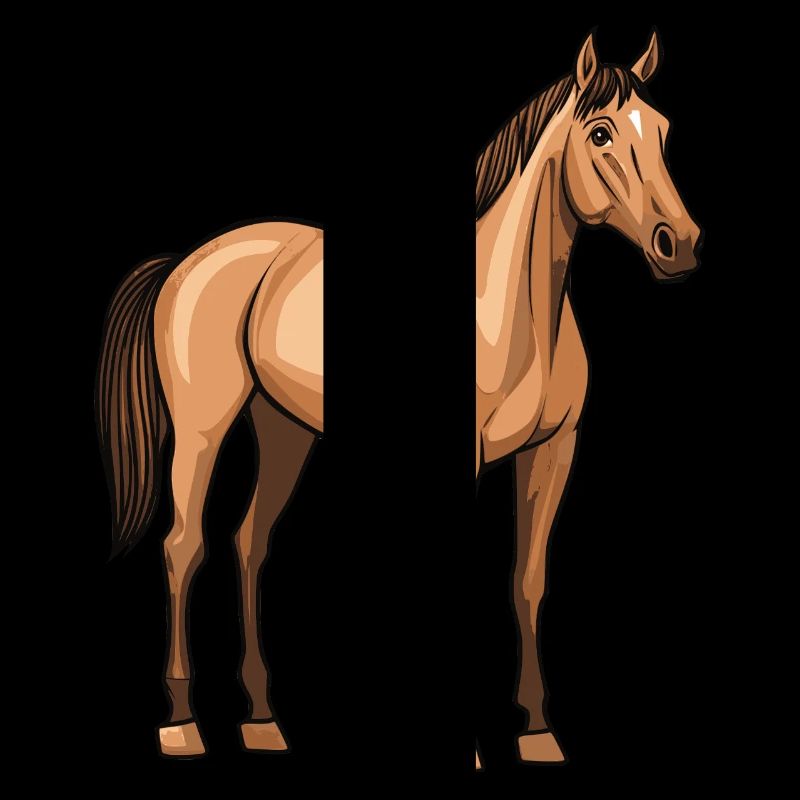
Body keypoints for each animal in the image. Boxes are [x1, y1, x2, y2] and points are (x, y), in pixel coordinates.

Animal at [96, 220, 323, 757]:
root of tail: (186, 261)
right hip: (203, 425)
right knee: (183, 544)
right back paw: (181, 722)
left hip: (283, 422)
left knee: (250, 538)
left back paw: (261, 718)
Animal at [475, 31, 701, 768]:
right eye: (599, 132)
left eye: (663, 129)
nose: (679, 243)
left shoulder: (553, 450)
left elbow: (528, 581)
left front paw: (538, 733)